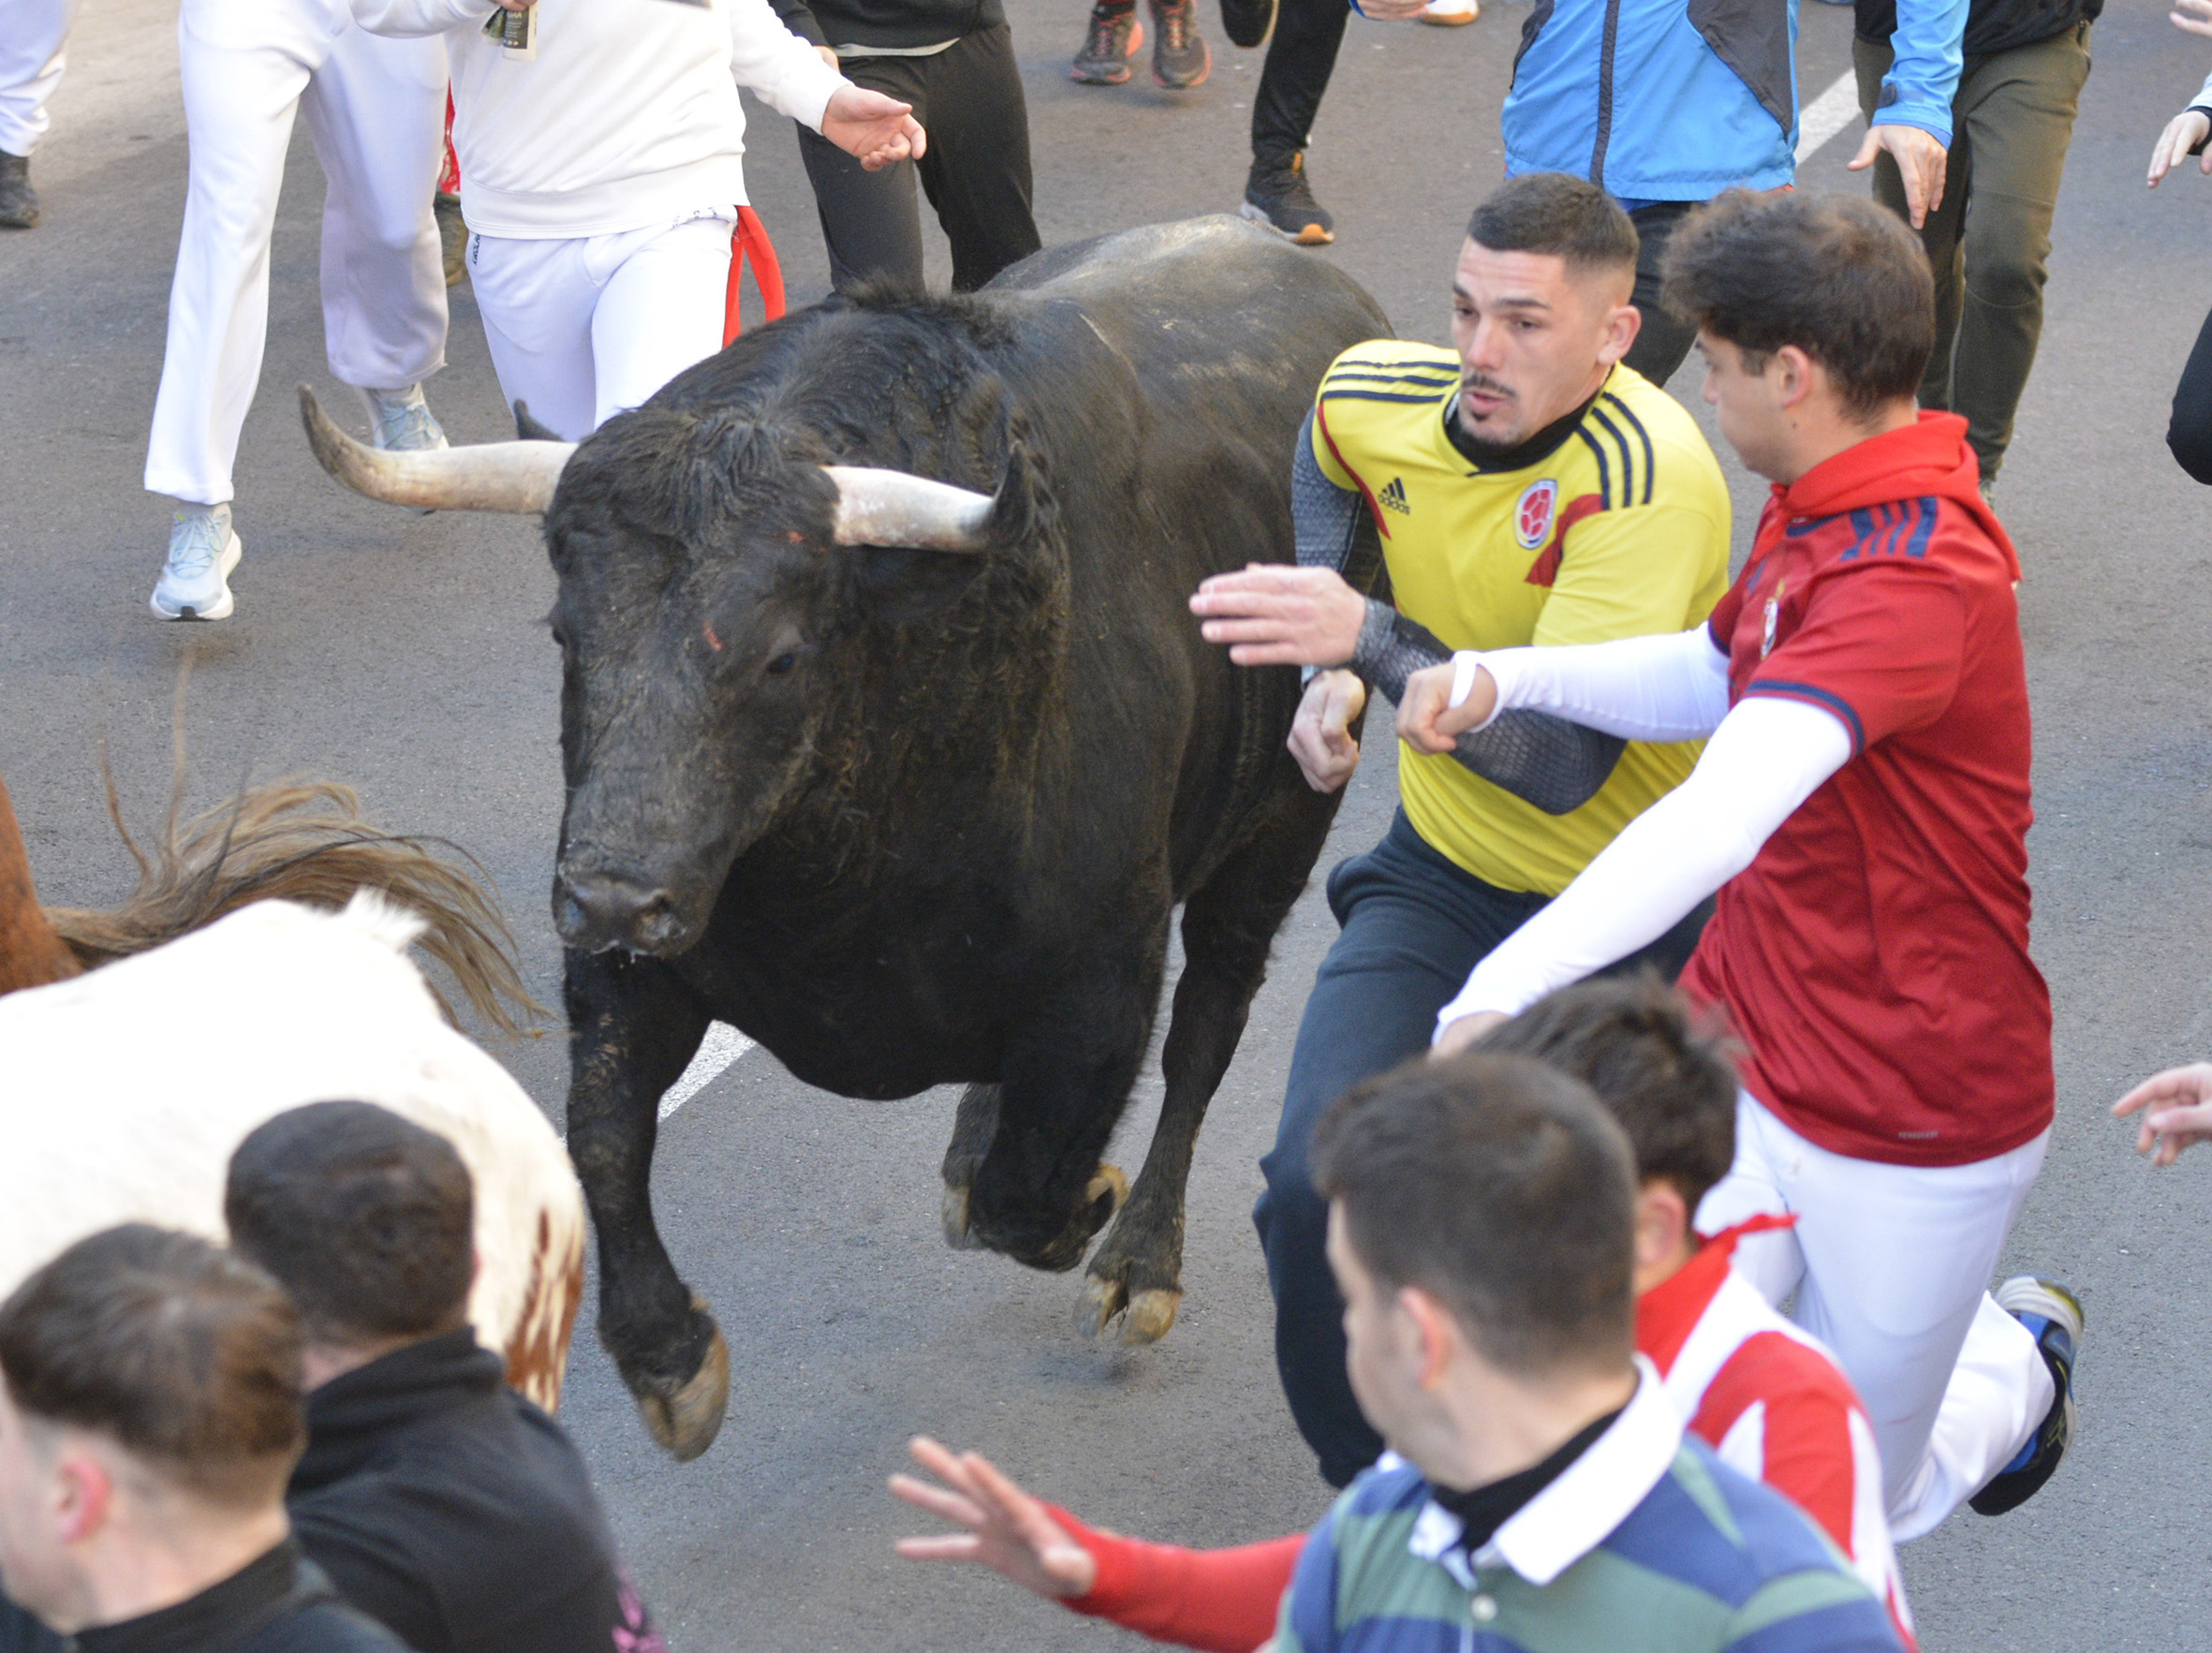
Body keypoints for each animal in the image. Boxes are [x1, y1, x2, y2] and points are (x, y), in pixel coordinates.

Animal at [548, 216, 1379, 1460]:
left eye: (782, 654)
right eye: (567, 629)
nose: (608, 893)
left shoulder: (1102, 983)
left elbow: (1030, 1191)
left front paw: (1090, 1205)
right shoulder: (644, 954)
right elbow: (600, 1132)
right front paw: (669, 1361)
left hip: (1276, 828)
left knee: (1210, 1020)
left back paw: (1139, 1261)